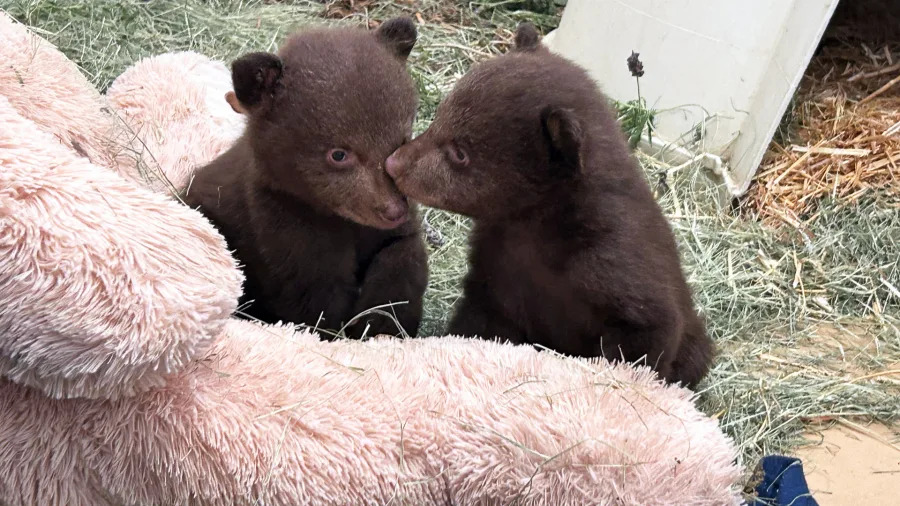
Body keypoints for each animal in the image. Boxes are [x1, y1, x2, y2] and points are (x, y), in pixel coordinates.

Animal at [183, 18, 428, 339]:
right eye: (339, 154)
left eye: (401, 140)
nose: (393, 210)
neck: (340, 220)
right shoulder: (285, 228)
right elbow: (314, 302)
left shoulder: (389, 231)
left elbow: (401, 255)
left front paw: (383, 322)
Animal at [384, 23, 714, 387]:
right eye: (439, 117)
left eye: (460, 153)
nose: (394, 163)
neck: (536, 224)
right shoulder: (496, 267)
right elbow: (481, 319)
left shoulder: (616, 263)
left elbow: (645, 333)